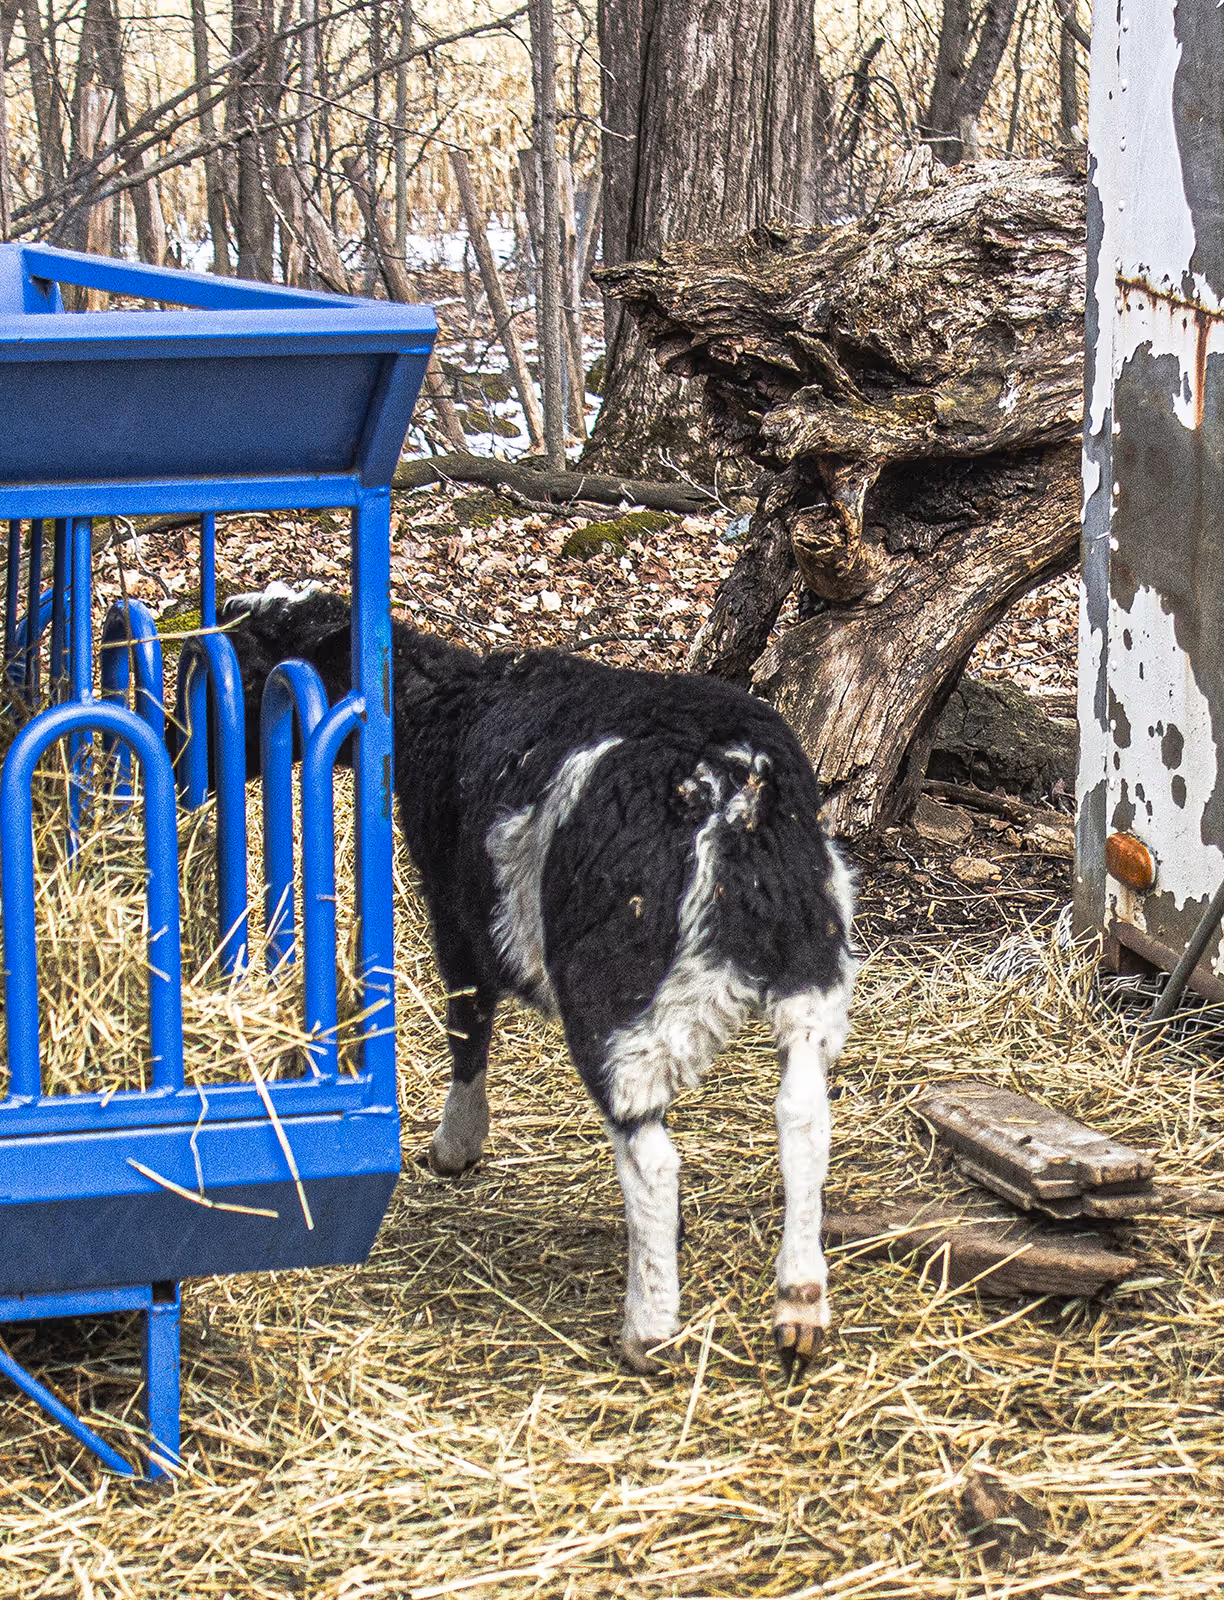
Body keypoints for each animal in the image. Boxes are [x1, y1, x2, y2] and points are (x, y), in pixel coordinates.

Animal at [221, 584, 856, 1375]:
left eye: (253, 662)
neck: (443, 704)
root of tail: (737, 792)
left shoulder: (456, 908)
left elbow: (467, 1024)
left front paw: (455, 1146)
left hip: (618, 991)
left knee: (652, 1158)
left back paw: (649, 1329)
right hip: (813, 956)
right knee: (803, 1115)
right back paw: (800, 1303)